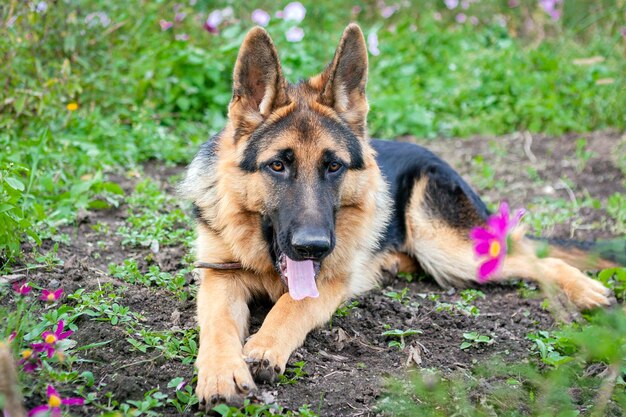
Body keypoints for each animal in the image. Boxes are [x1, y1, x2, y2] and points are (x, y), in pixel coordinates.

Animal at [180, 24, 608, 404]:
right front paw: (220, 372)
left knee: (539, 258)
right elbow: (217, 323)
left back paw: (584, 289)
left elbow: (292, 305)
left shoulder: (330, 279)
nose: (313, 247)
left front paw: (265, 346)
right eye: (277, 166)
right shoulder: (219, 276)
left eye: (333, 166)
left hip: (449, 251)